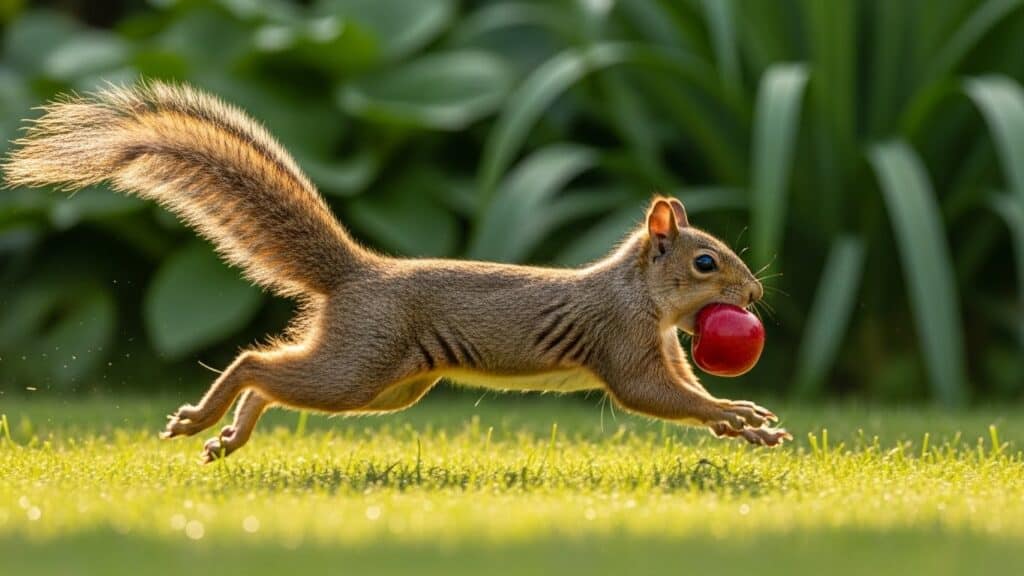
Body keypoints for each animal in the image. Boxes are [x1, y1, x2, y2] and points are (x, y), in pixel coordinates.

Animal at [3, 81, 790, 462]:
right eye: (705, 262)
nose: (753, 295)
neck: (640, 296)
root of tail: (358, 276)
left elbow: (686, 394)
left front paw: (747, 424)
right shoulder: (623, 343)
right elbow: (655, 397)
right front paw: (735, 416)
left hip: (388, 387)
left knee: (275, 377)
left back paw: (231, 435)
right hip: (361, 365)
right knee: (258, 364)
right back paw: (204, 418)